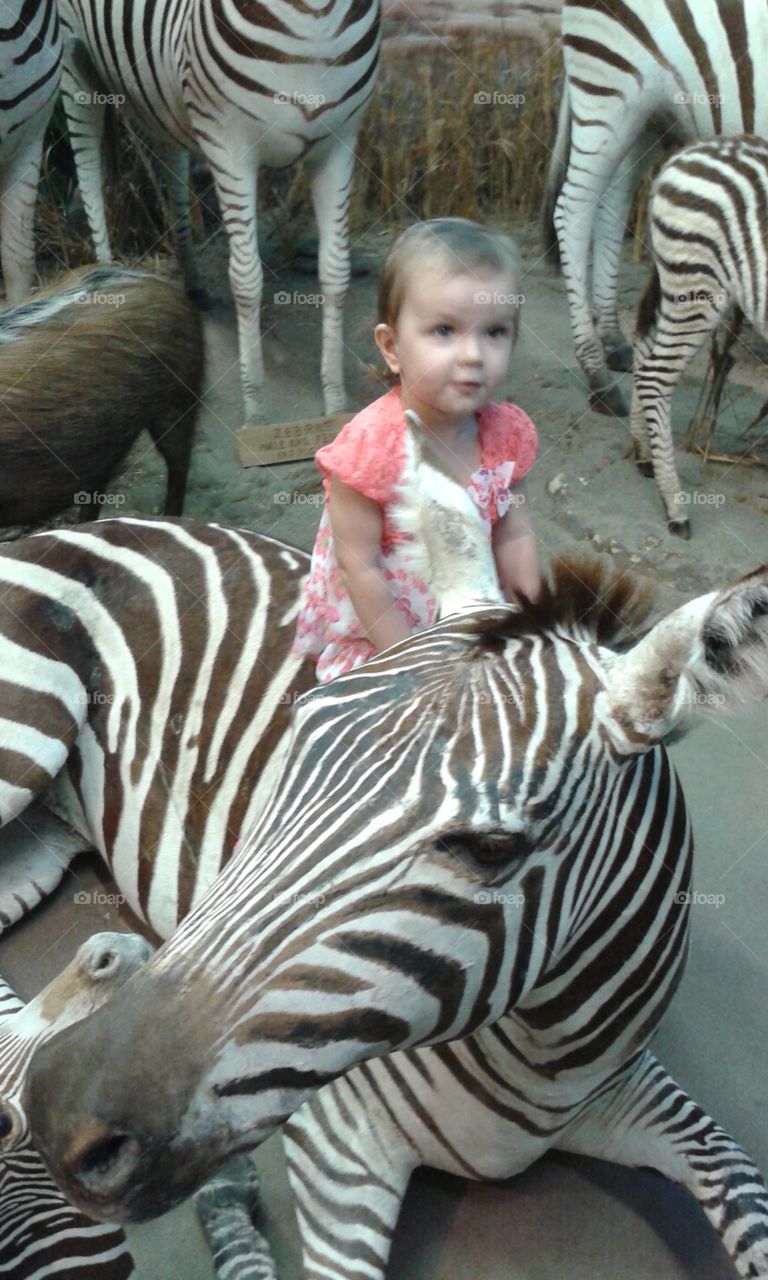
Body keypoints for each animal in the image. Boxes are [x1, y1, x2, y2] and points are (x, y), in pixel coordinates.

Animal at [15, 519, 768, 1276]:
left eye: (490, 850)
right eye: (294, 739)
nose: (57, 1113)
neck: (542, 1061)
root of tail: (74, 526)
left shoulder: (632, 1095)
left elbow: (742, 1189)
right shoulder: (336, 1148)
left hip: (35, 851)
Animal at [57, 0, 381, 426]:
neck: (314, 18)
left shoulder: (338, 144)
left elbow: (336, 271)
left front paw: (336, 402)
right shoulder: (229, 146)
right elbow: (246, 279)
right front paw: (255, 411)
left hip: (162, 97)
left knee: (170, 163)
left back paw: (192, 283)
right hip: (74, 59)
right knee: (88, 166)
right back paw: (107, 285)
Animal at [545, 0, 768, 417]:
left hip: (650, 114)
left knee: (611, 206)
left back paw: (614, 340)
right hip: (610, 88)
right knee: (574, 209)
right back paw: (598, 377)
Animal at [631, 135, 768, 538]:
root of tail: (682, 155)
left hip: (676, 281)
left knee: (644, 348)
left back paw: (642, 452)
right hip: (698, 284)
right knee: (655, 376)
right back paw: (675, 507)